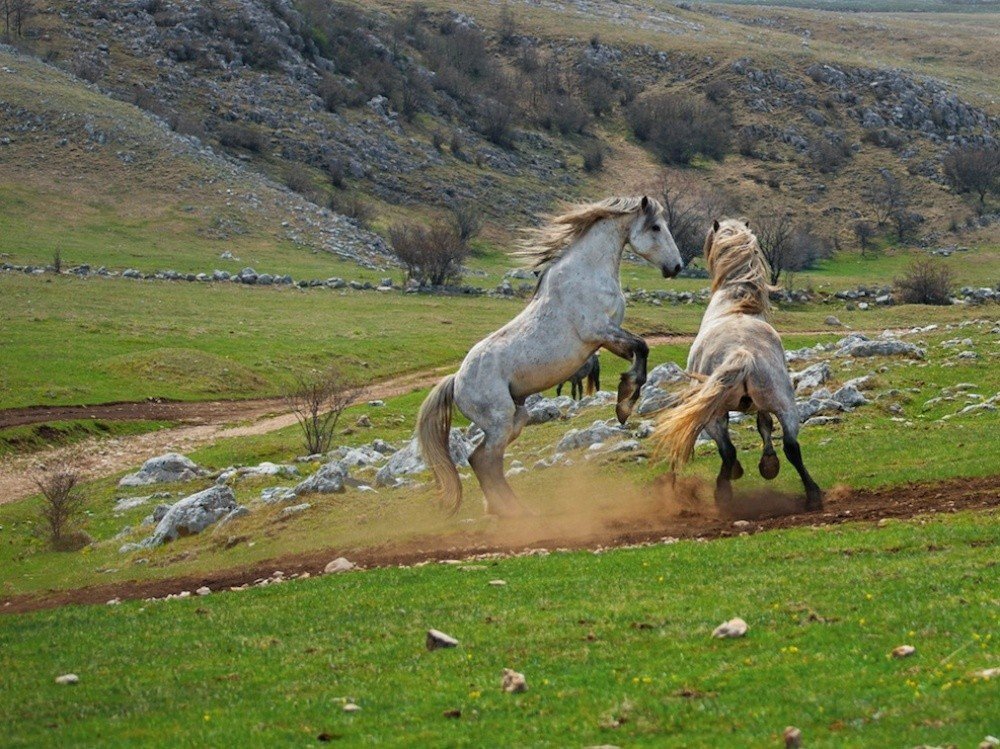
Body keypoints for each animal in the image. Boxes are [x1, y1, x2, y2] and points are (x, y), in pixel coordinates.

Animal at [418, 196, 683, 517]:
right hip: (500, 421)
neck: (587, 273)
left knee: (480, 460)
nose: (677, 266)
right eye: (656, 227)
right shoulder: (600, 331)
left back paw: (505, 509)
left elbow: (639, 352)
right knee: (485, 461)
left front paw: (625, 401)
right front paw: (624, 404)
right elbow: (642, 348)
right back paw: (515, 512)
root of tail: (457, 380)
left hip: (516, 418)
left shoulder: (607, 339)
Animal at [652, 218, 823, 511]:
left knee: (728, 451)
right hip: (785, 404)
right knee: (792, 446)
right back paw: (813, 494)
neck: (737, 305)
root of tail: (742, 352)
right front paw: (769, 465)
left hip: (714, 416)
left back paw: (724, 492)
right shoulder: (762, 406)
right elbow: (765, 426)